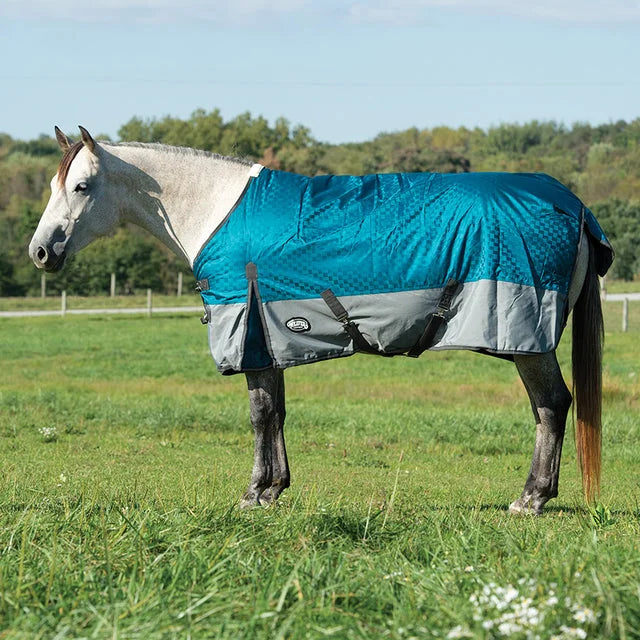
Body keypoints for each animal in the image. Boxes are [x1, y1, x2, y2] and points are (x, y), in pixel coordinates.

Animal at [29, 126, 613, 515]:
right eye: (56, 187)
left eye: (81, 187)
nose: (40, 252)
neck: (217, 210)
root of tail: (574, 206)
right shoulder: (270, 338)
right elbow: (277, 413)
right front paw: (274, 487)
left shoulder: (249, 333)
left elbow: (259, 414)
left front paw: (254, 494)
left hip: (526, 339)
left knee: (552, 405)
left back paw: (531, 498)